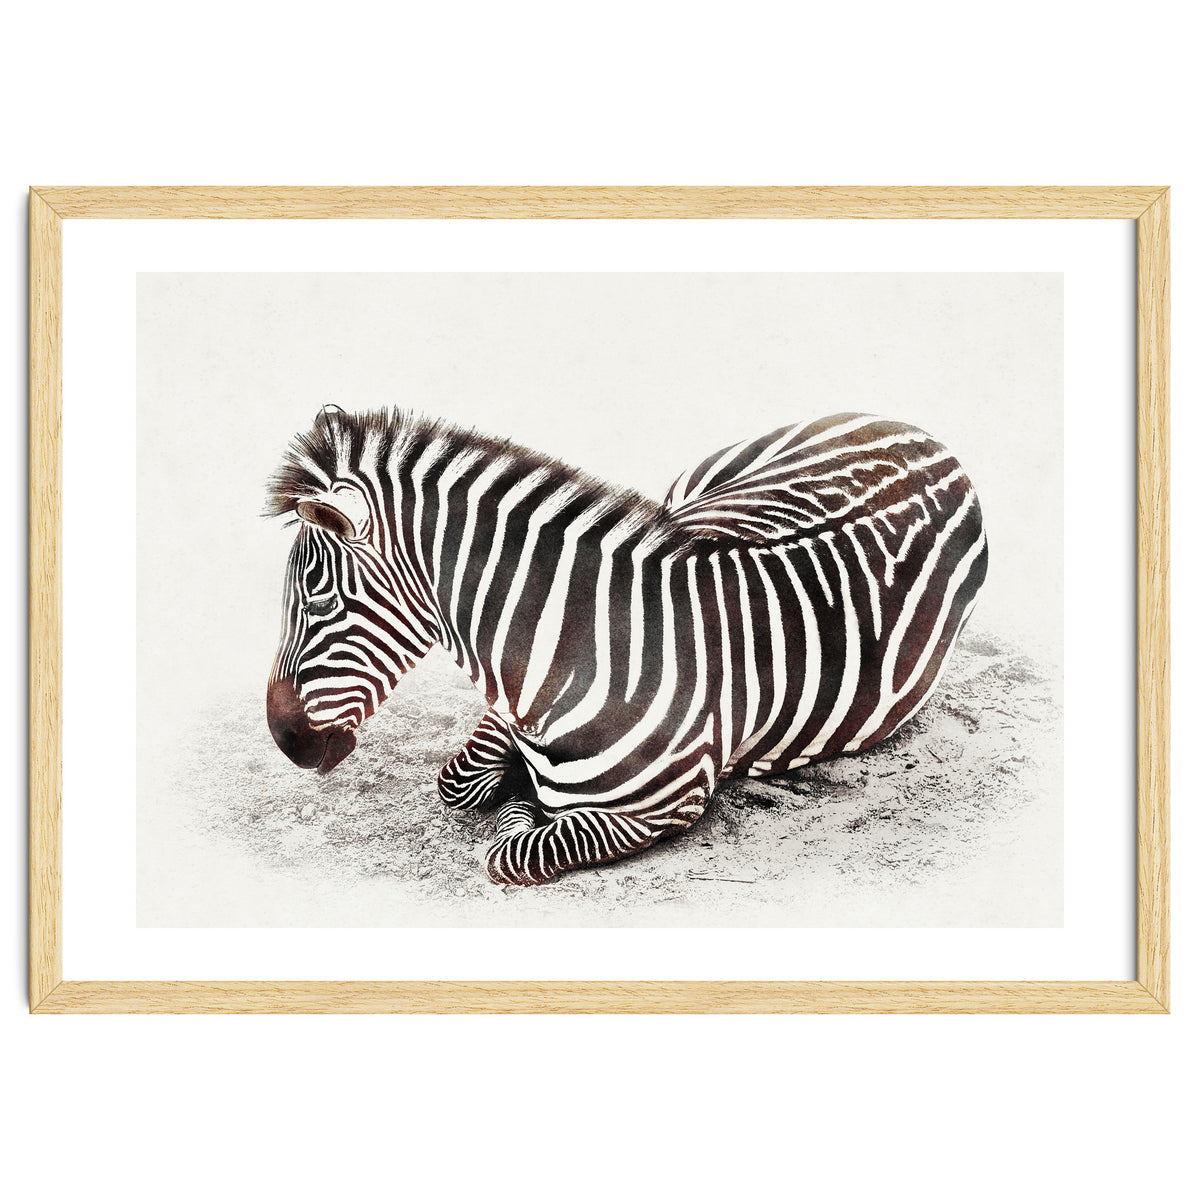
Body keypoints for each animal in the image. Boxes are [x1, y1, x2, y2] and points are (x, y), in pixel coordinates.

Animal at [266, 407, 987, 885]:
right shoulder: (506, 708)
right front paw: (514, 784)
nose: (285, 741)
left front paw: (522, 802)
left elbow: (511, 849)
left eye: (320, 601)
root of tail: (933, 440)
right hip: (691, 491)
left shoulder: (664, 807)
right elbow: (460, 782)